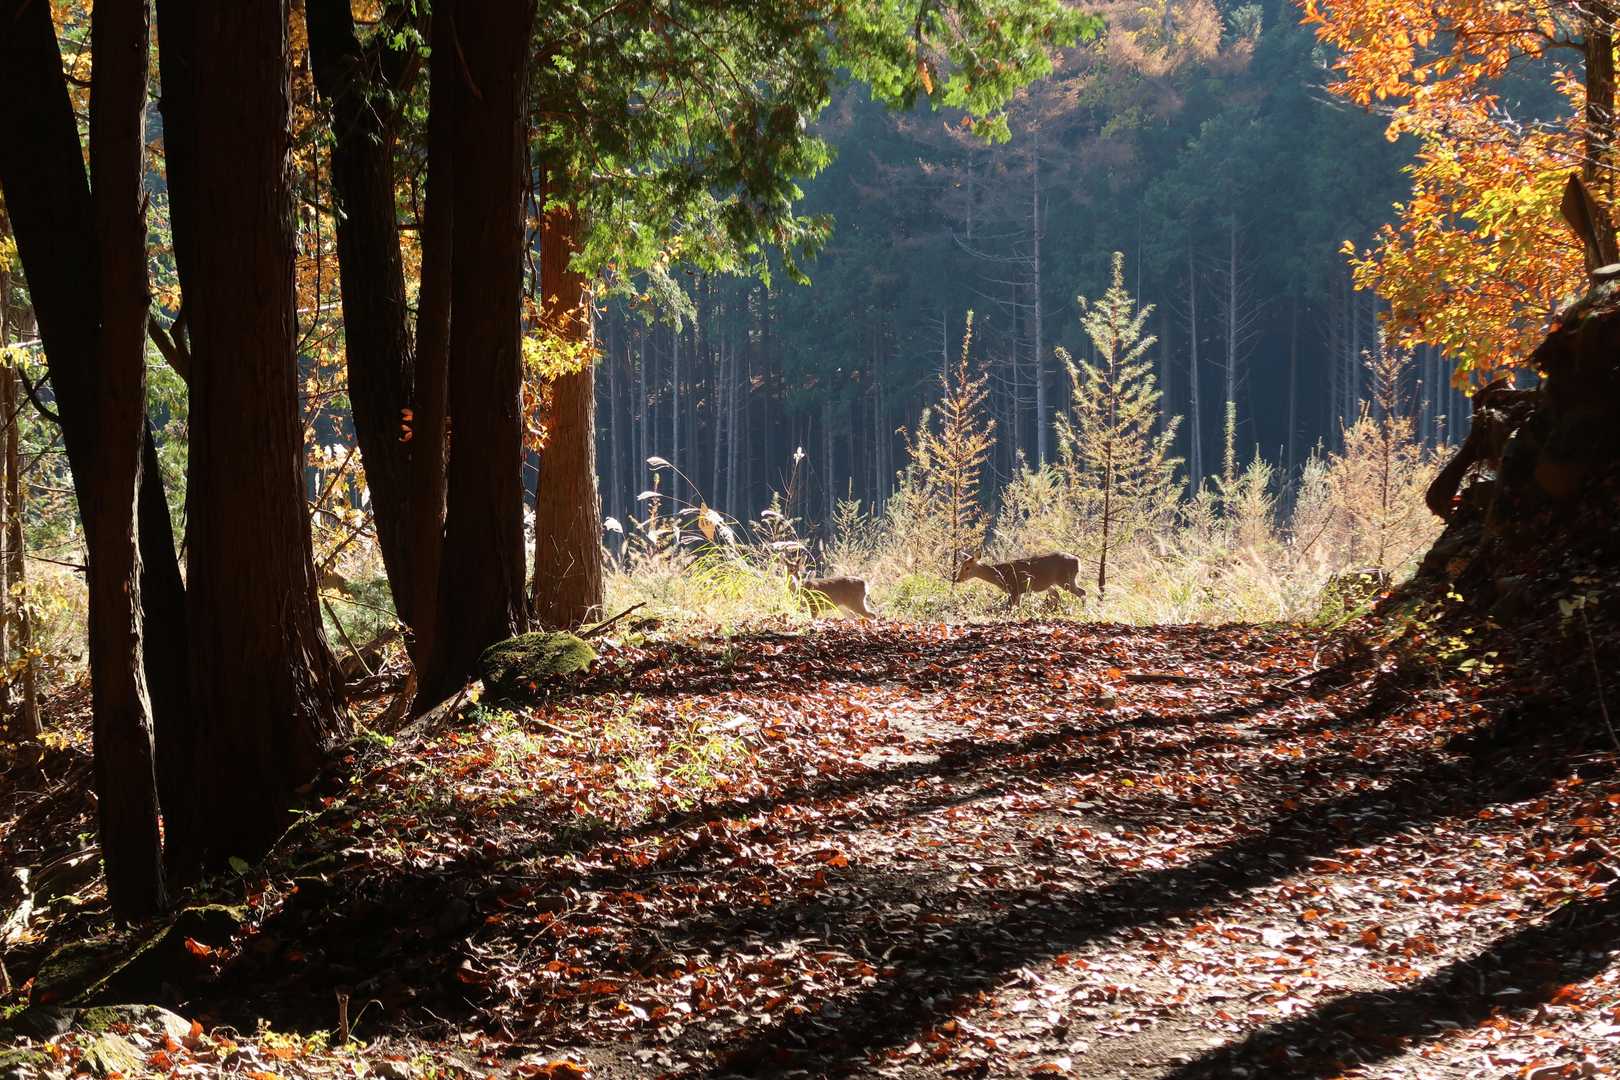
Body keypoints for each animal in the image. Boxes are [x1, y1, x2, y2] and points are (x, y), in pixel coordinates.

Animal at [952, 552, 1086, 609]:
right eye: (961, 565)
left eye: (967, 567)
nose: (958, 579)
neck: (1000, 574)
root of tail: (1078, 561)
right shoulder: (1019, 591)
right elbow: (1018, 606)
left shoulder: (1014, 589)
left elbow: (1009, 607)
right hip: (1054, 583)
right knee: (1057, 596)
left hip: (1065, 579)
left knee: (1083, 592)